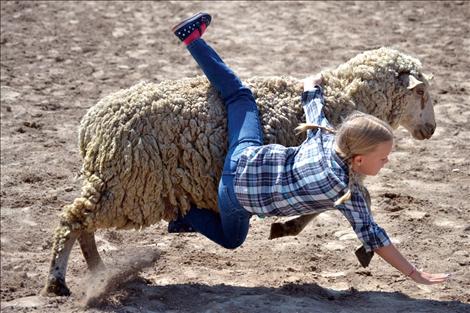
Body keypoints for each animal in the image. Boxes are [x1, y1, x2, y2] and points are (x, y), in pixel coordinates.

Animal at [42, 46, 436, 294]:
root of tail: (91, 125)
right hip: (126, 187)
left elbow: (330, 204)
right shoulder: (337, 171)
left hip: (116, 184)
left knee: (83, 224)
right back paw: (59, 282)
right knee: (72, 219)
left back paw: (99, 272)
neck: (347, 97)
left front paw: (287, 227)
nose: (430, 130)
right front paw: (294, 229)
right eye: (421, 93)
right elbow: (359, 200)